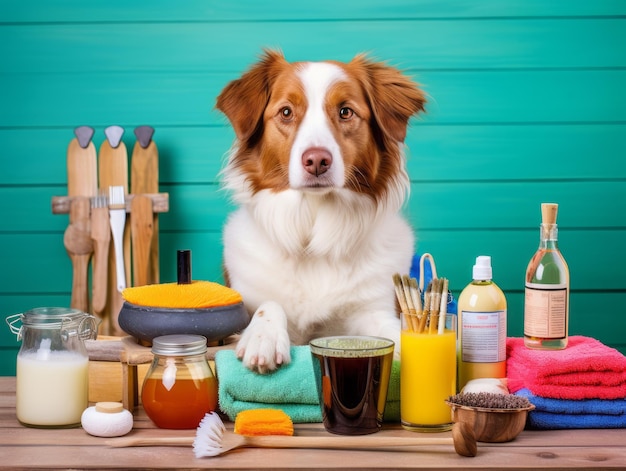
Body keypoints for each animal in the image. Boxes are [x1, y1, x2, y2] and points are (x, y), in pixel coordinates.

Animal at [214, 50, 424, 372]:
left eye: (345, 112)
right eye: (286, 112)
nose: (316, 161)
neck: (312, 231)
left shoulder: (372, 308)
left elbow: (394, 333)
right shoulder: (244, 302)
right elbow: (267, 305)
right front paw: (263, 337)